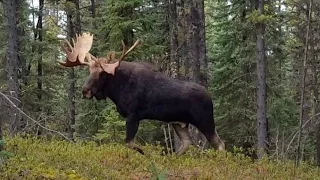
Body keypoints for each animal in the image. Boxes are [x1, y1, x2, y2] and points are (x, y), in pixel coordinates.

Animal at [57, 32, 225, 155]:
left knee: (220, 144)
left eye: (102, 73)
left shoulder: (133, 114)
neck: (118, 90)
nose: (85, 90)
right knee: (187, 142)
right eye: (89, 70)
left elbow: (130, 143)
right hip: (179, 123)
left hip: (204, 120)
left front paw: (150, 154)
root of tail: (210, 97)